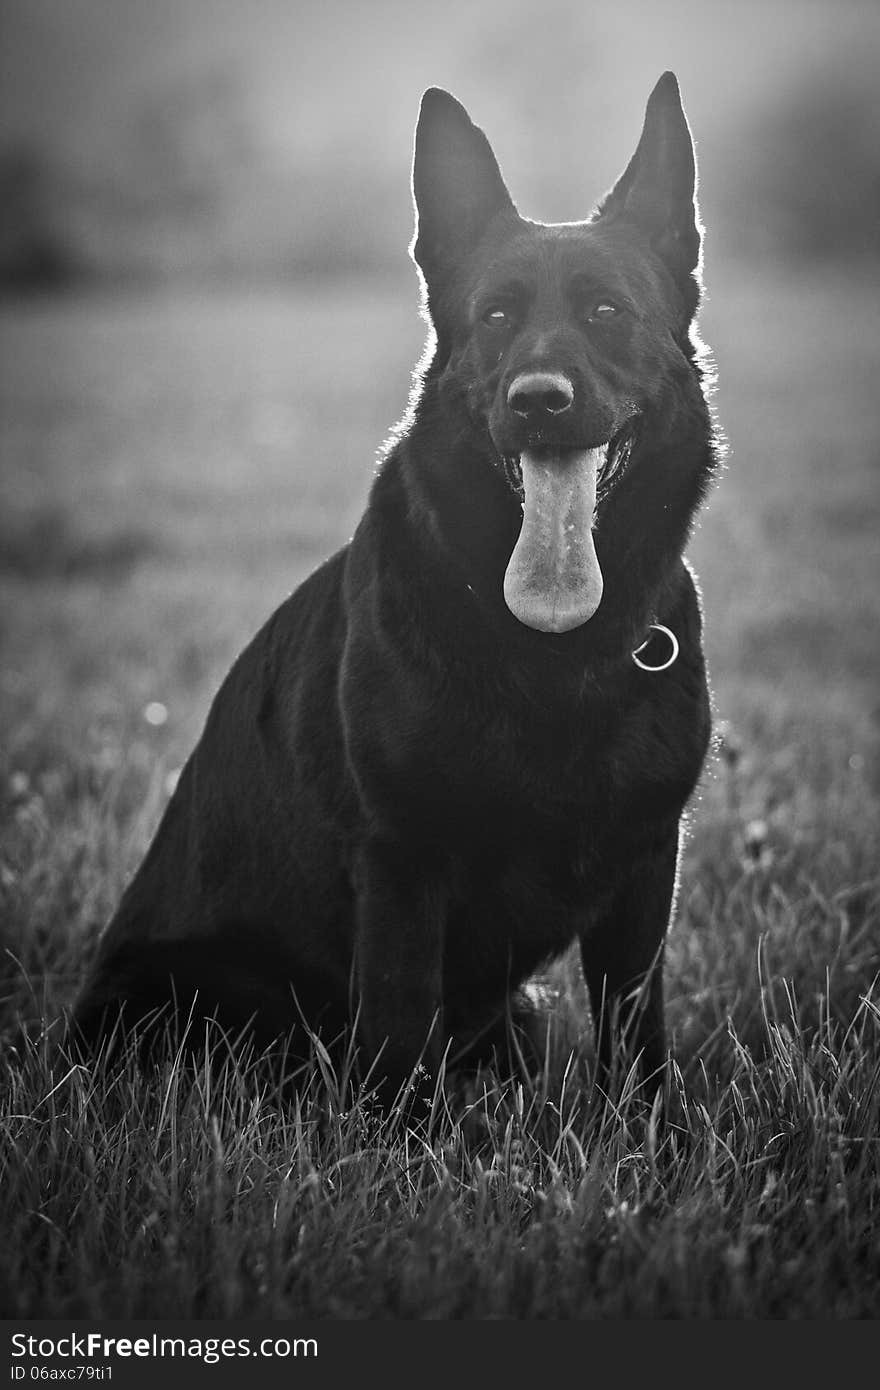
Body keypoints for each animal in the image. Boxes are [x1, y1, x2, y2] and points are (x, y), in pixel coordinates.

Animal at [73, 73, 711, 1095]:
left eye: (608, 313)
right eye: (496, 317)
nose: (539, 400)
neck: (552, 654)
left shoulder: (647, 868)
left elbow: (634, 1032)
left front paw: (648, 1126)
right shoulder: (404, 862)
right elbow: (401, 1031)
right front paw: (396, 1129)